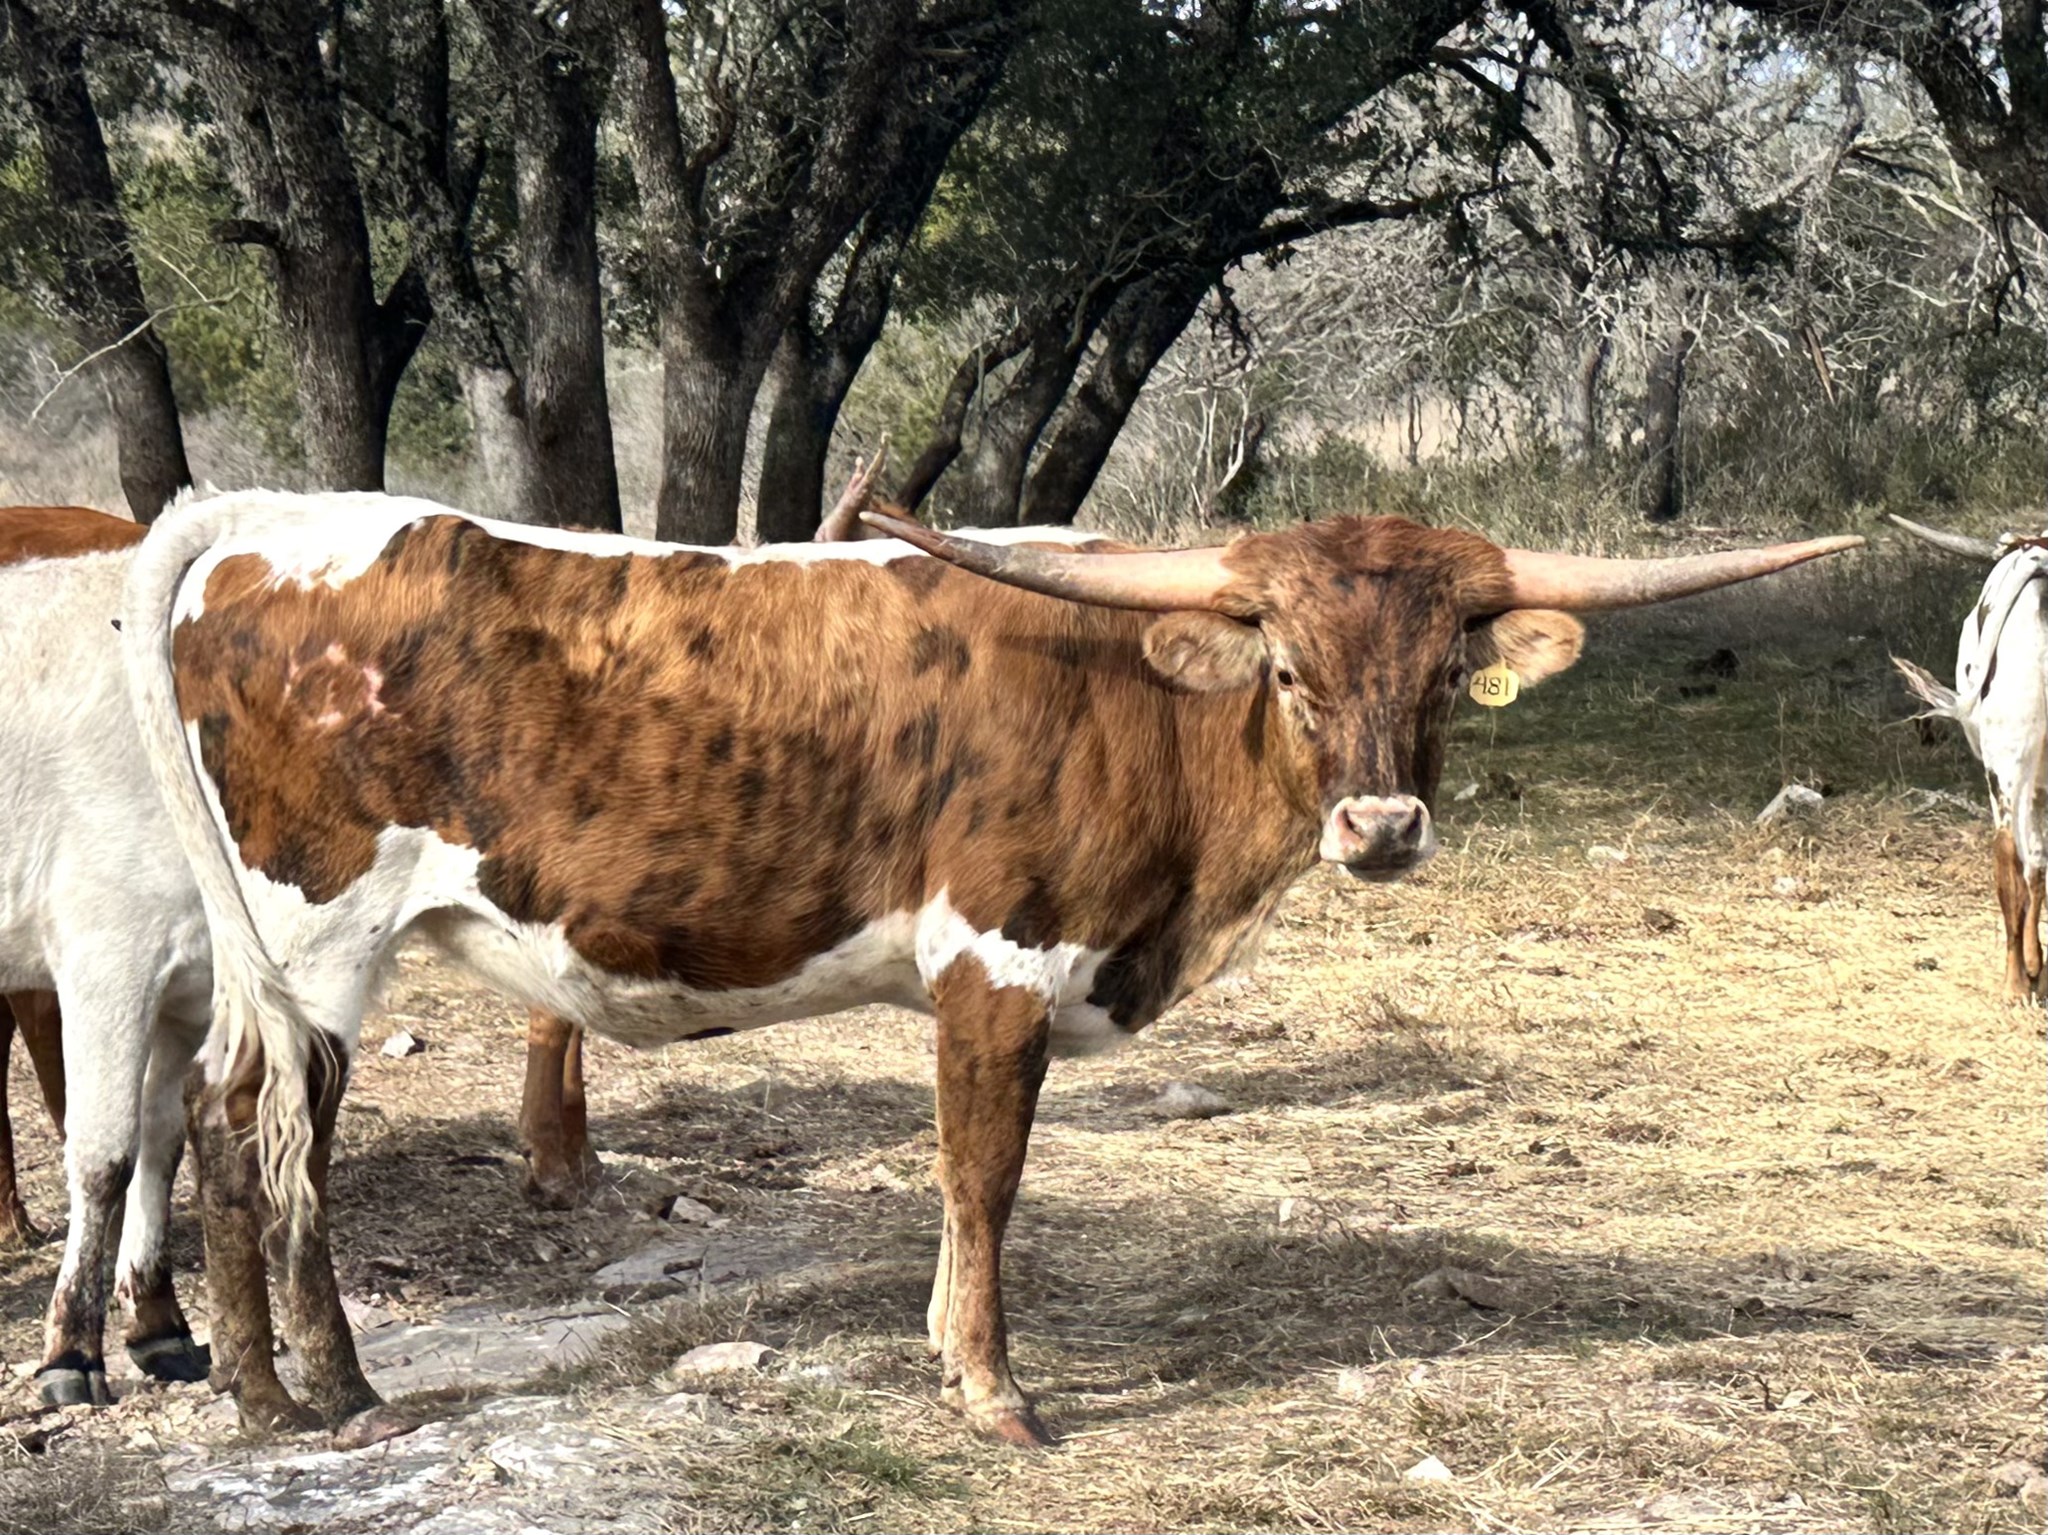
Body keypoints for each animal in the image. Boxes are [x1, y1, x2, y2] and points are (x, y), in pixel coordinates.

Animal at [122, 489, 1858, 1444]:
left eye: (1442, 673)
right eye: (1291, 669)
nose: (1380, 825)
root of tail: (254, 525)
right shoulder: (1000, 962)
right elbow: (984, 1172)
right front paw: (989, 1385)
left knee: (249, 1125)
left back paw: (322, 1384)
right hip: (316, 934)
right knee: (250, 1133)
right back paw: (281, 1396)